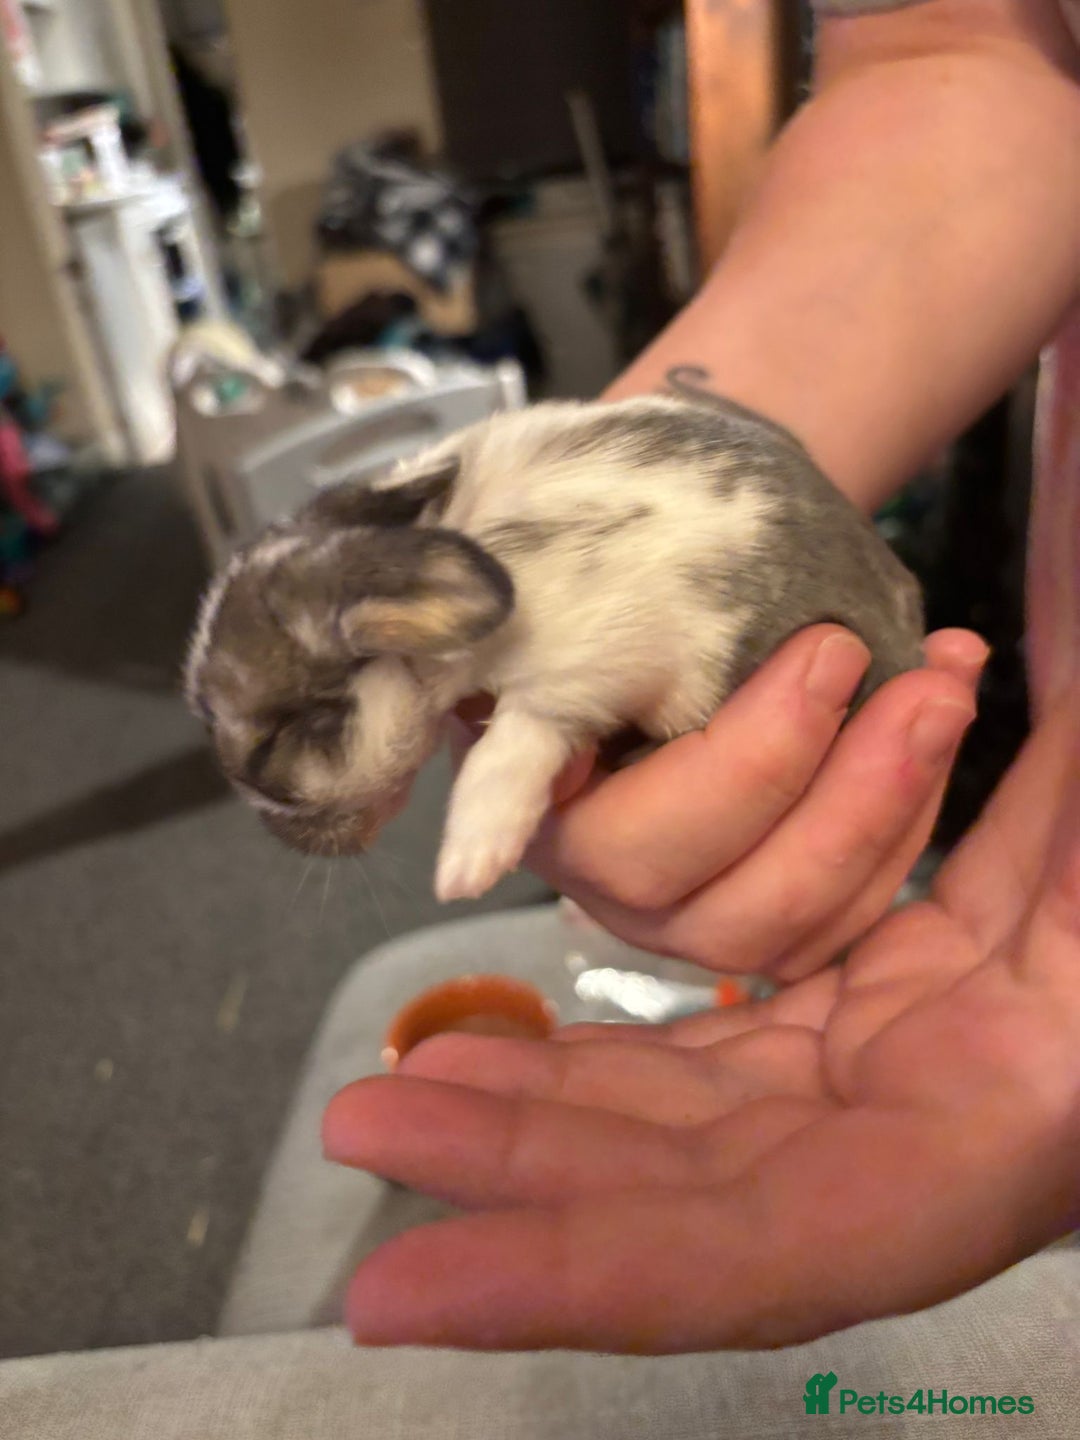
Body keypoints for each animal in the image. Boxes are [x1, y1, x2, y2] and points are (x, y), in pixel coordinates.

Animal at [185, 389, 925, 902]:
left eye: (270, 744)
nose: (293, 841)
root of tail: (908, 638)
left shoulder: (572, 679)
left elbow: (510, 754)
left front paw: (466, 865)